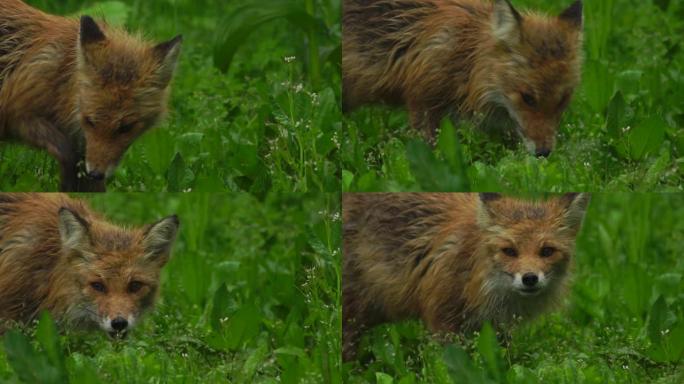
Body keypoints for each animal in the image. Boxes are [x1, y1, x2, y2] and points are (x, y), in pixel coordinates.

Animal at [0, 0, 183, 191]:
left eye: (126, 127)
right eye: (90, 121)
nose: (96, 173)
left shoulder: (83, 145)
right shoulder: (15, 111)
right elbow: (67, 154)